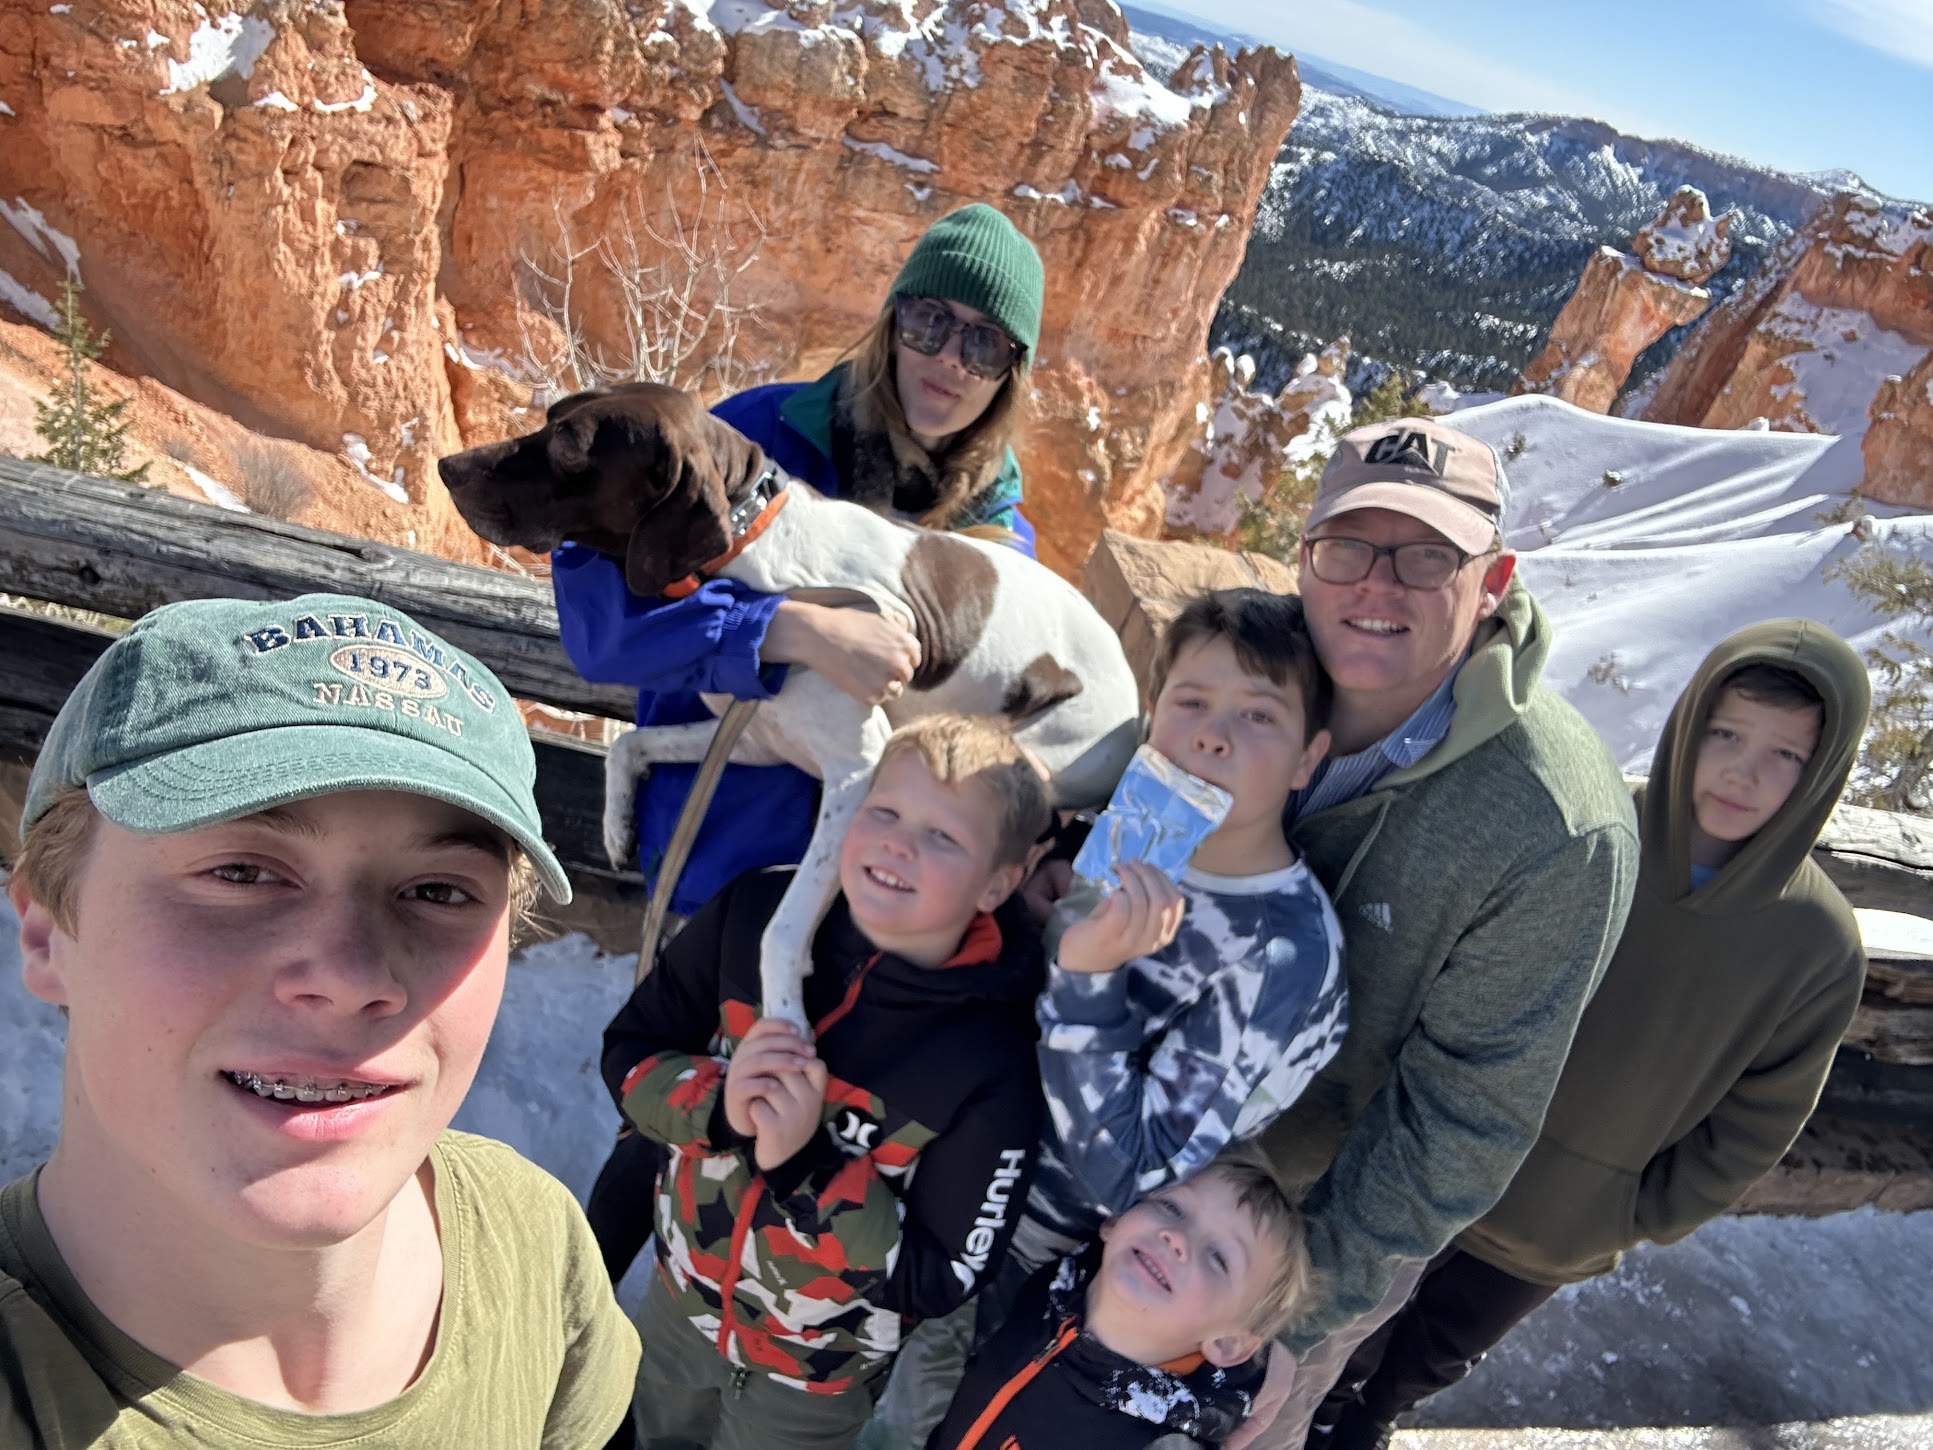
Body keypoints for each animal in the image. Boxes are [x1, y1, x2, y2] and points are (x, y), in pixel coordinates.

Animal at [439, 383, 1140, 1027]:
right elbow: (633, 744)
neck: (756, 553)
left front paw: (783, 1021)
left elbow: (781, 926)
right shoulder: (753, 737)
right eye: (553, 415)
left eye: (567, 444)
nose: (449, 466)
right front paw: (617, 827)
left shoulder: (857, 776)